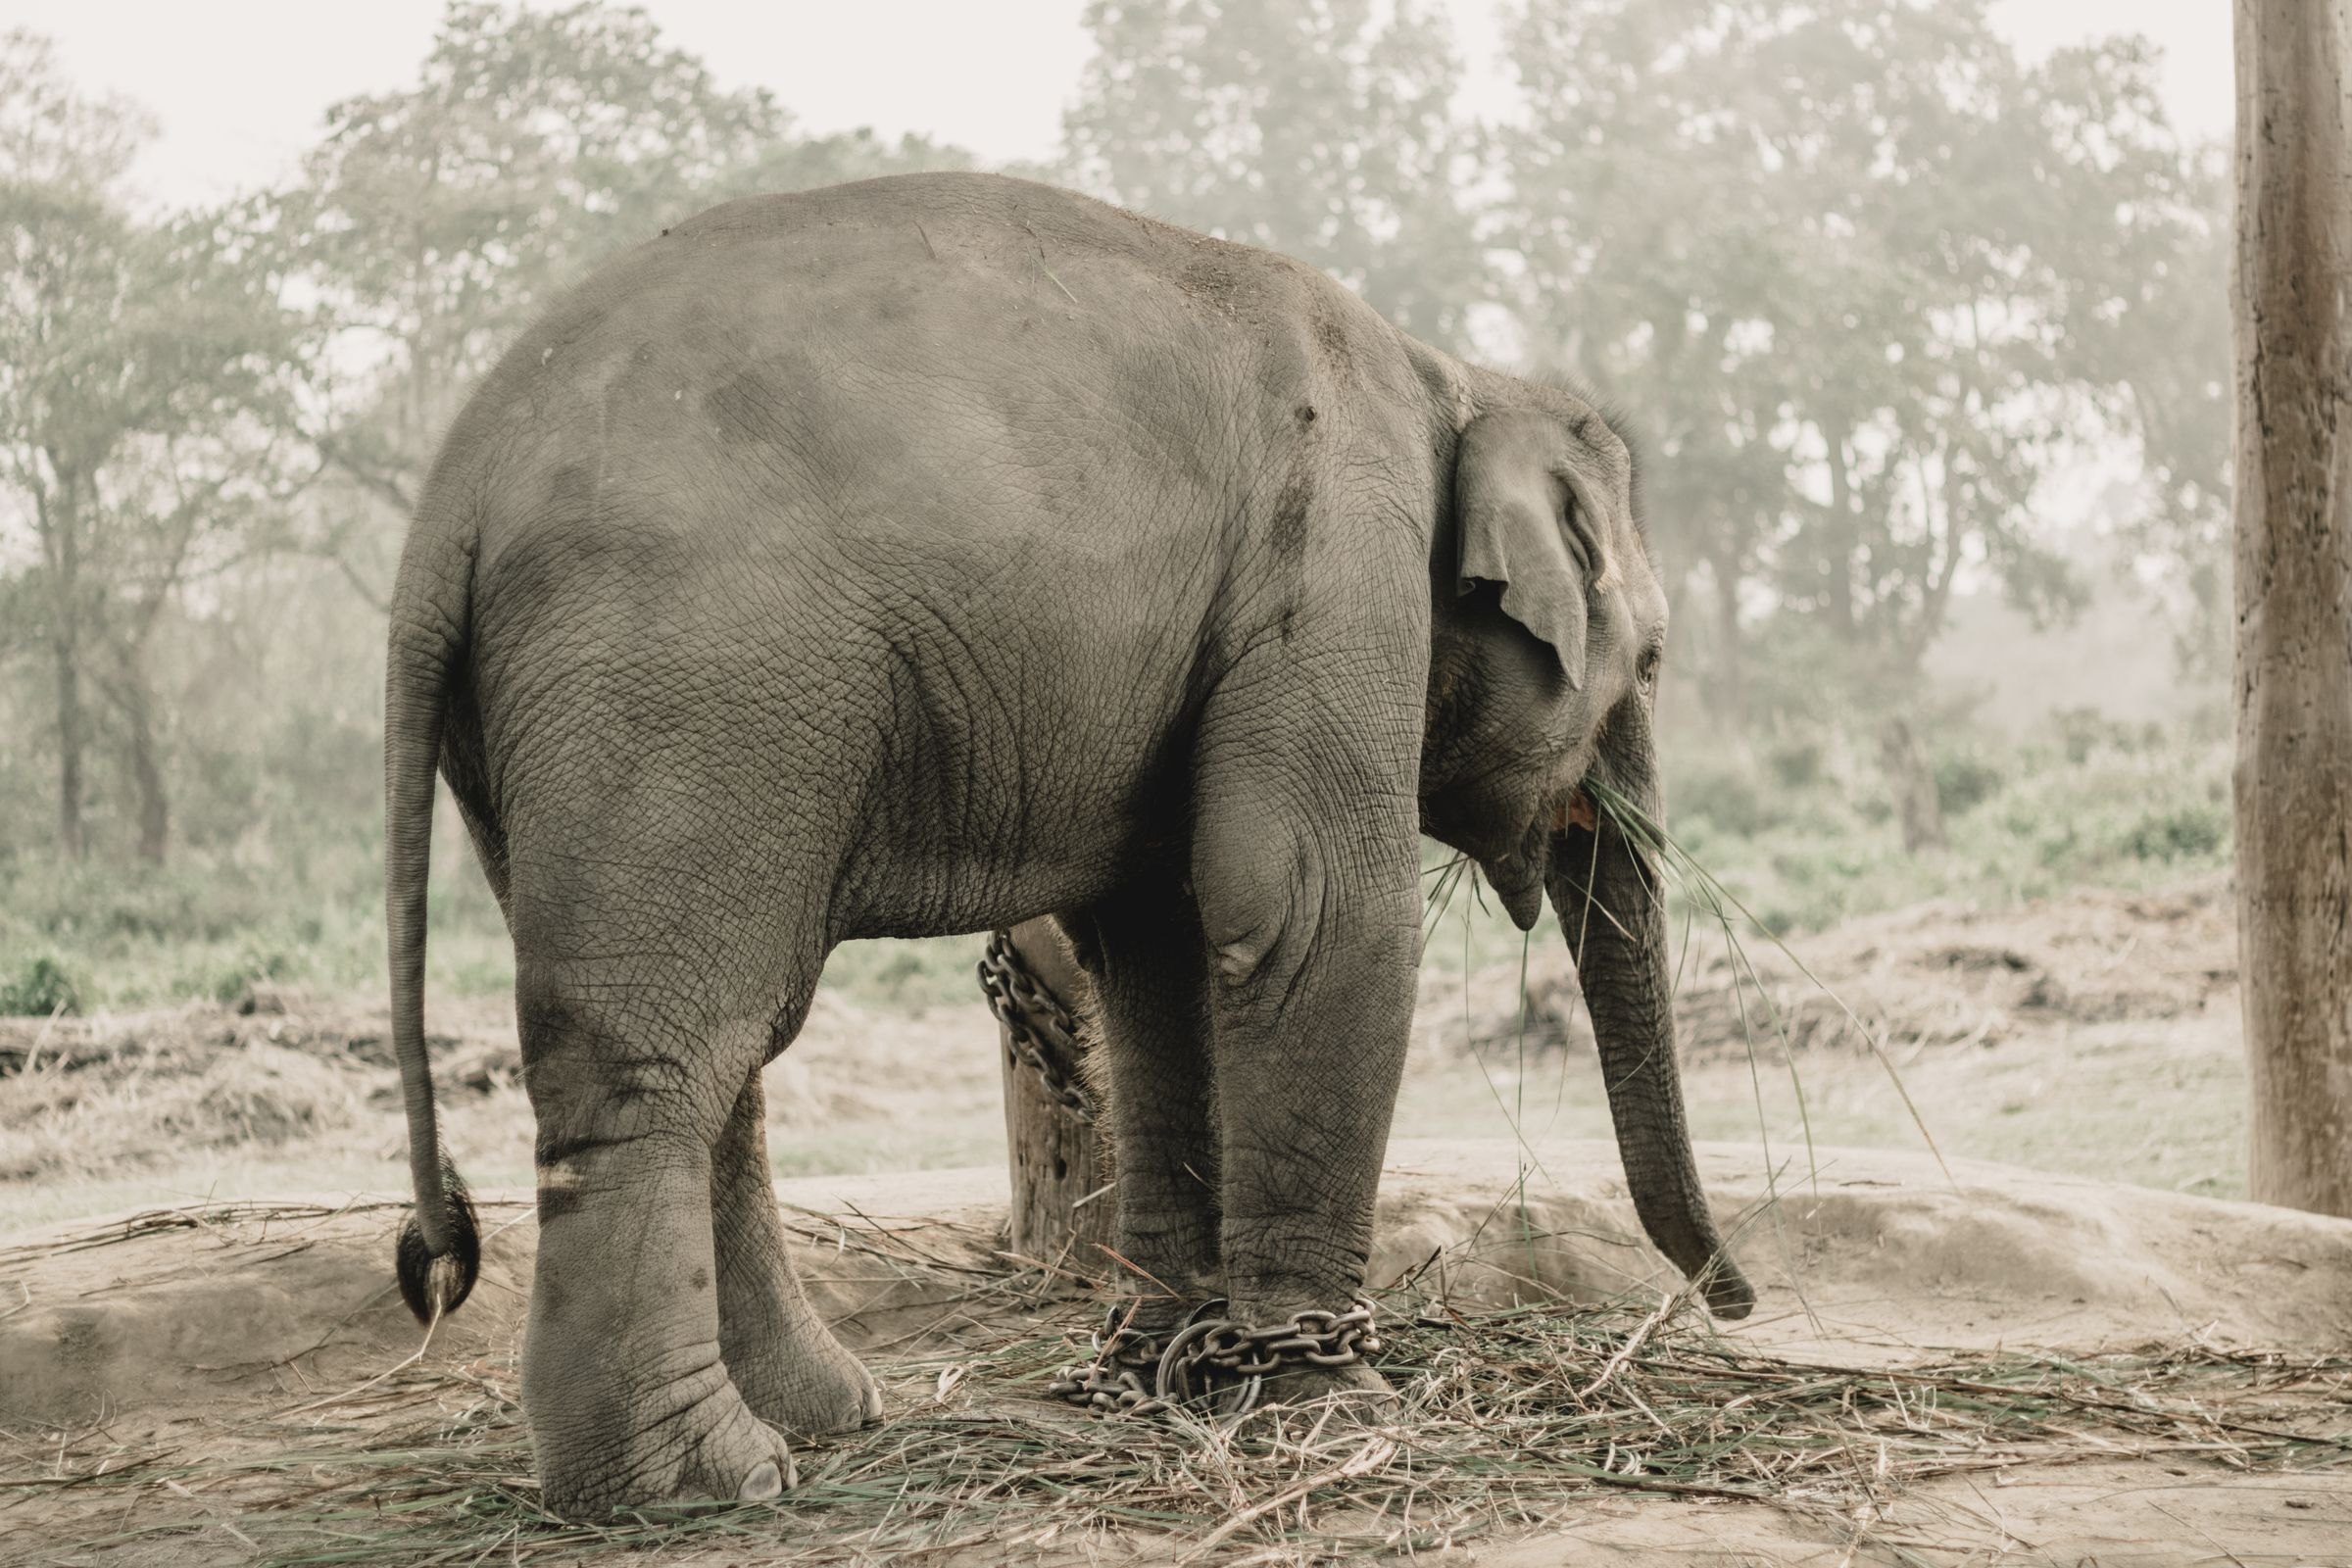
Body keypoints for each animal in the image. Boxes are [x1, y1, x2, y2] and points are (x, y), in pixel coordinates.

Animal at [383, 170, 1755, 1518]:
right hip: (686, 683)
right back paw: (697, 1483)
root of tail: (451, 492)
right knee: (658, 1052)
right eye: (1652, 661)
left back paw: (819, 1416)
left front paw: (1165, 1365)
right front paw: (1332, 1404)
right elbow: (1313, 912)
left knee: (722, 1050)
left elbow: (1158, 943)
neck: (1453, 375)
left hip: (557, 736)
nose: (1733, 1302)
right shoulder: (1336, 557)